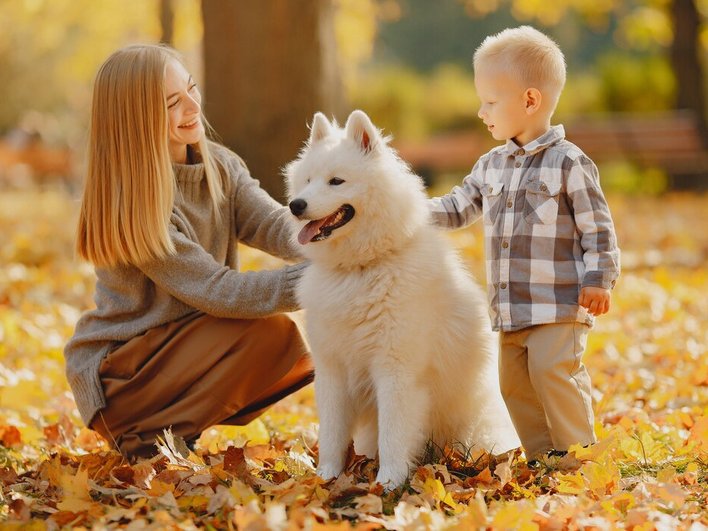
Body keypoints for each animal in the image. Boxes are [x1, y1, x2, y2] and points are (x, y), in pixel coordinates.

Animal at [284, 110, 520, 488]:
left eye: (336, 181)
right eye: (306, 180)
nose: (296, 205)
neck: (360, 269)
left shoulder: (397, 370)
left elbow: (393, 434)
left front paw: (388, 484)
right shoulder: (332, 369)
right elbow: (332, 433)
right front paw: (326, 478)